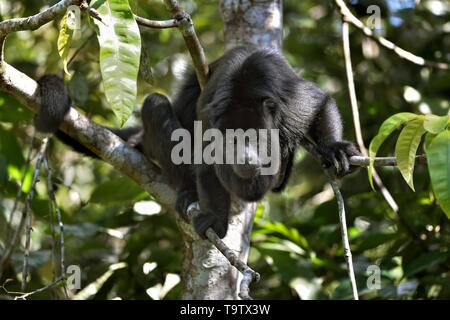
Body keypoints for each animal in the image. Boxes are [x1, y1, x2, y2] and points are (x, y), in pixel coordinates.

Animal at [34, 46, 358, 239]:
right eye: (232, 142)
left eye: (255, 138)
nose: (246, 159)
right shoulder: (210, 119)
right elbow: (205, 160)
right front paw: (215, 218)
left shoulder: (290, 104)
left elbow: (319, 101)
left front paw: (334, 147)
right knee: (155, 105)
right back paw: (188, 191)